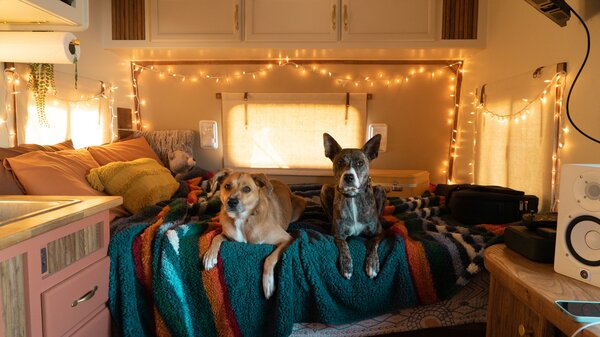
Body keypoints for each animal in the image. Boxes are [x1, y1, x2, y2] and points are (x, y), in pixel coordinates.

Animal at [203, 169, 308, 298]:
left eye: (247, 189)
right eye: (227, 186)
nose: (231, 202)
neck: (243, 220)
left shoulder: (287, 239)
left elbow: (269, 259)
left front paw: (268, 283)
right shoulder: (230, 236)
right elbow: (217, 237)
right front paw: (210, 256)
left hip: (299, 207)